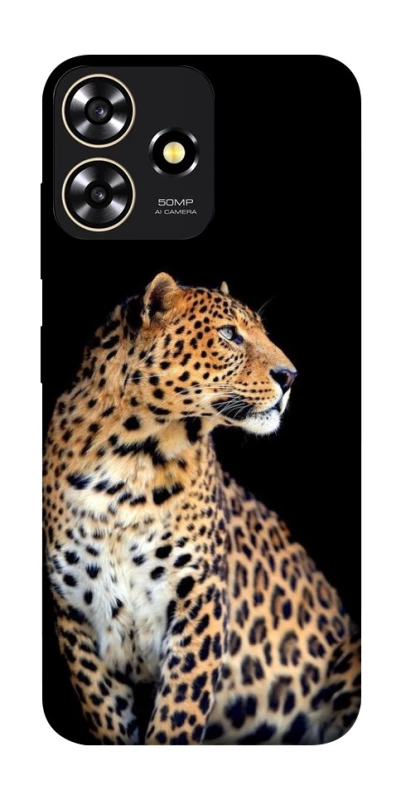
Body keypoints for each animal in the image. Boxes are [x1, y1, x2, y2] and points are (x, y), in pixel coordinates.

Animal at [43, 272, 361, 745]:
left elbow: (177, 714)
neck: (129, 460)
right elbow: (109, 718)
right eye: (229, 334)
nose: (290, 376)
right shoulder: (75, 617)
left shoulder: (200, 599)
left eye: (262, 331)